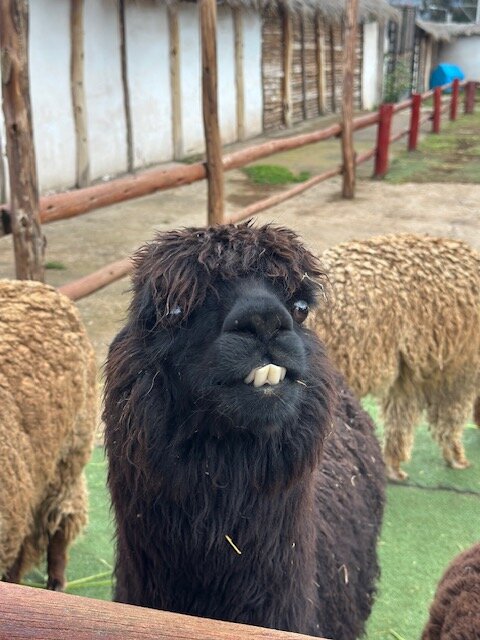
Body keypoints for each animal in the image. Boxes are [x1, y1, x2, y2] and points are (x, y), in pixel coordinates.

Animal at [309, 234, 480, 482]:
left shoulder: (408, 375)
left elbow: (400, 418)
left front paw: (393, 467)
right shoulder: (459, 369)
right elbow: (449, 417)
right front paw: (457, 458)